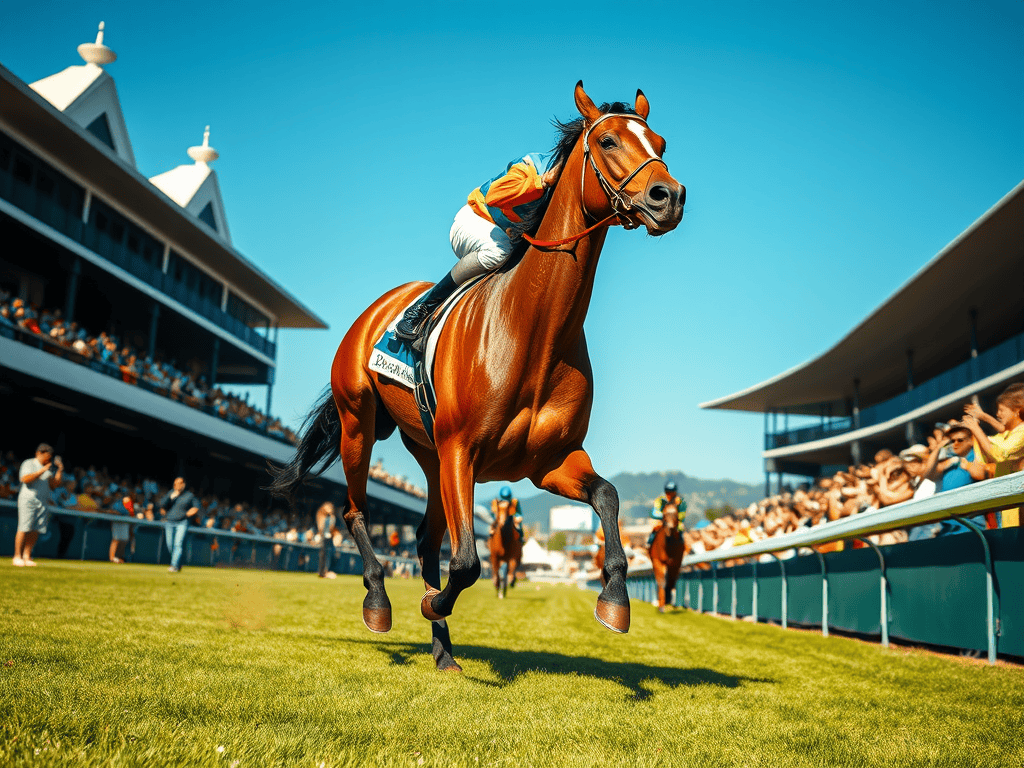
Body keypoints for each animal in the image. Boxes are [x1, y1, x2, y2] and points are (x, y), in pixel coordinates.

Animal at [269, 82, 685, 671]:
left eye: (662, 142)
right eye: (607, 140)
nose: (668, 196)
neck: (536, 331)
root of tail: (375, 309)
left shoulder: (549, 461)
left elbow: (607, 496)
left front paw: (615, 599)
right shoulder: (461, 449)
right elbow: (466, 562)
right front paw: (428, 602)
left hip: (428, 452)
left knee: (424, 538)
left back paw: (443, 650)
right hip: (359, 423)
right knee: (354, 510)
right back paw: (379, 602)